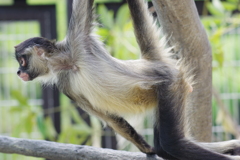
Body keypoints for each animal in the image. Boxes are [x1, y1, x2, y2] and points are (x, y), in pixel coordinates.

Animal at [14, 0, 240, 160]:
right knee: (165, 146)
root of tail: (152, 63)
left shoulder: (79, 39)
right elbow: (111, 119)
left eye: (22, 61)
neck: (69, 63)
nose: (18, 71)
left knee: (171, 143)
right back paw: (231, 147)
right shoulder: (66, 84)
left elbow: (82, 5)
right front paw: (148, 149)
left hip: (171, 83)